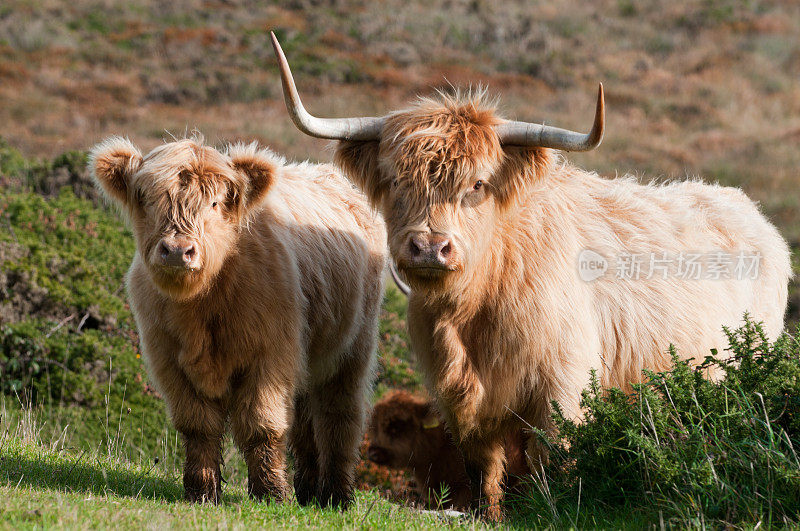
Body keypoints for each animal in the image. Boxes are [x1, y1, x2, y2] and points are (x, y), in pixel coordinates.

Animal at [89, 136, 386, 508]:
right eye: (148, 199)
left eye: (215, 203)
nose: (177, 251)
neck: (203, 304)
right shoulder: (168, 361)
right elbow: (198, 425)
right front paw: (202, 492)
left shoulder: (270, 357)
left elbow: (261, 425)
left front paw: (270, 494)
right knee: (306, 421)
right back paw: (307, 492)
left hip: (353, 349)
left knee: (340, 417)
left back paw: (336, 497)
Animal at [270, 32, 792, 520]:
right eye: (397, 180)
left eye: (478, 184)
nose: (429, 247)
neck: (473, 316)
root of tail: (751, 213)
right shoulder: (459, 399)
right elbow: (483, 469)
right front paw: (487, 515)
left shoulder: (563, 390)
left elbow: (553, 465)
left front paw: (552, 510)